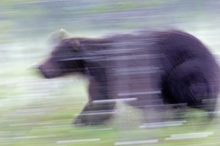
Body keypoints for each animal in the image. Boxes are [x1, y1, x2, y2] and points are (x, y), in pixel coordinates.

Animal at [37, 29, 220, 126]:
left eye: (55, 55)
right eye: (50, 52)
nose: (40, 68)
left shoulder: (121, 69)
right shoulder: (100, 77)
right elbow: (98, 99)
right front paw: (81, 120)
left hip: (187, 66)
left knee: (189, 86)